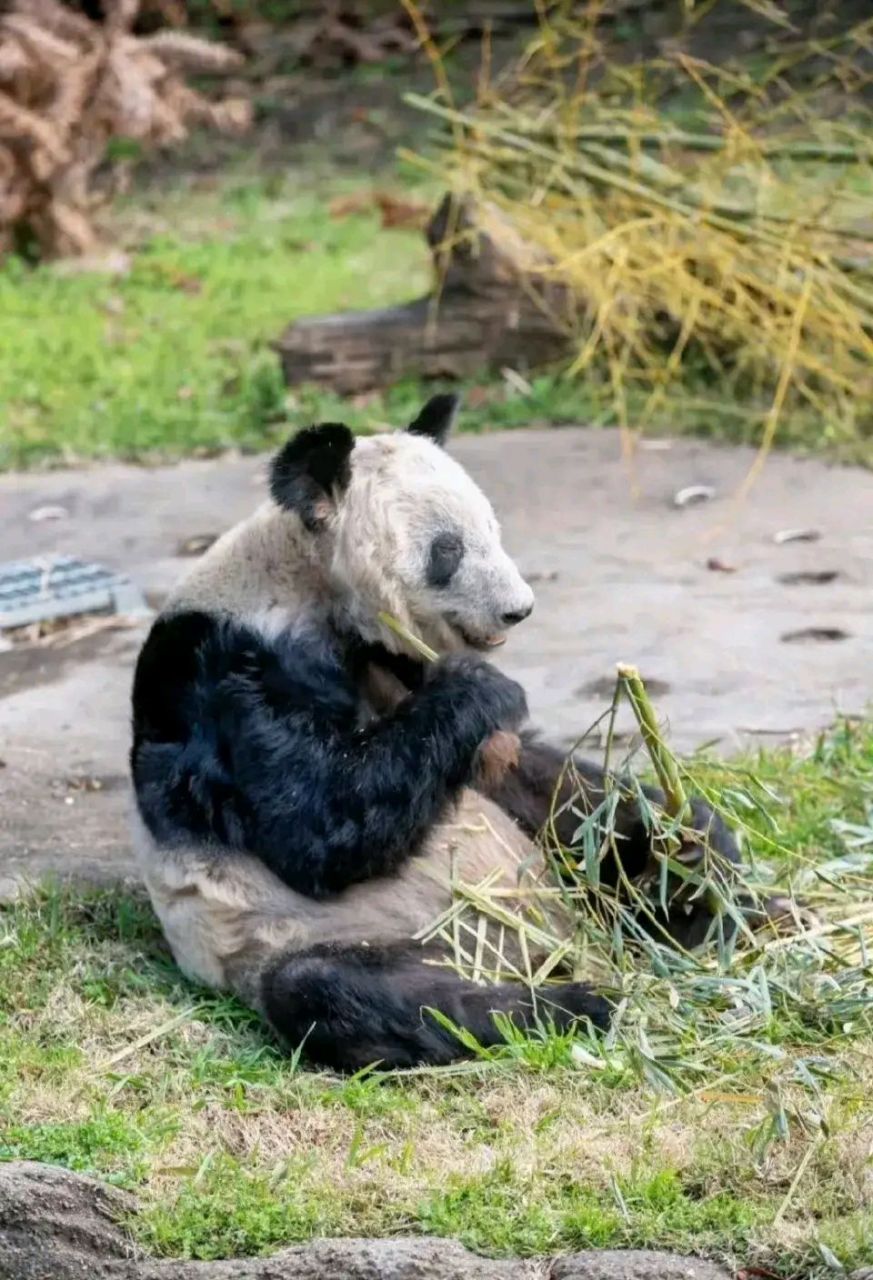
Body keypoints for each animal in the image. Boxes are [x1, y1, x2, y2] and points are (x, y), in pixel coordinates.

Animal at [131, 396, 732, 1070]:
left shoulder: (390, 662)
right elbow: (315, 821)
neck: (307, 581)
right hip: (310, 936)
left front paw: (685, 831)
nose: (518, 609)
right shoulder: (222, 675)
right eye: (448, 550)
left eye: (493, 529)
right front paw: (482, 686)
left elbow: (520, 775)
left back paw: (698, 897)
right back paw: (577, 1004)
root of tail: (546, 949)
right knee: (348, 992)